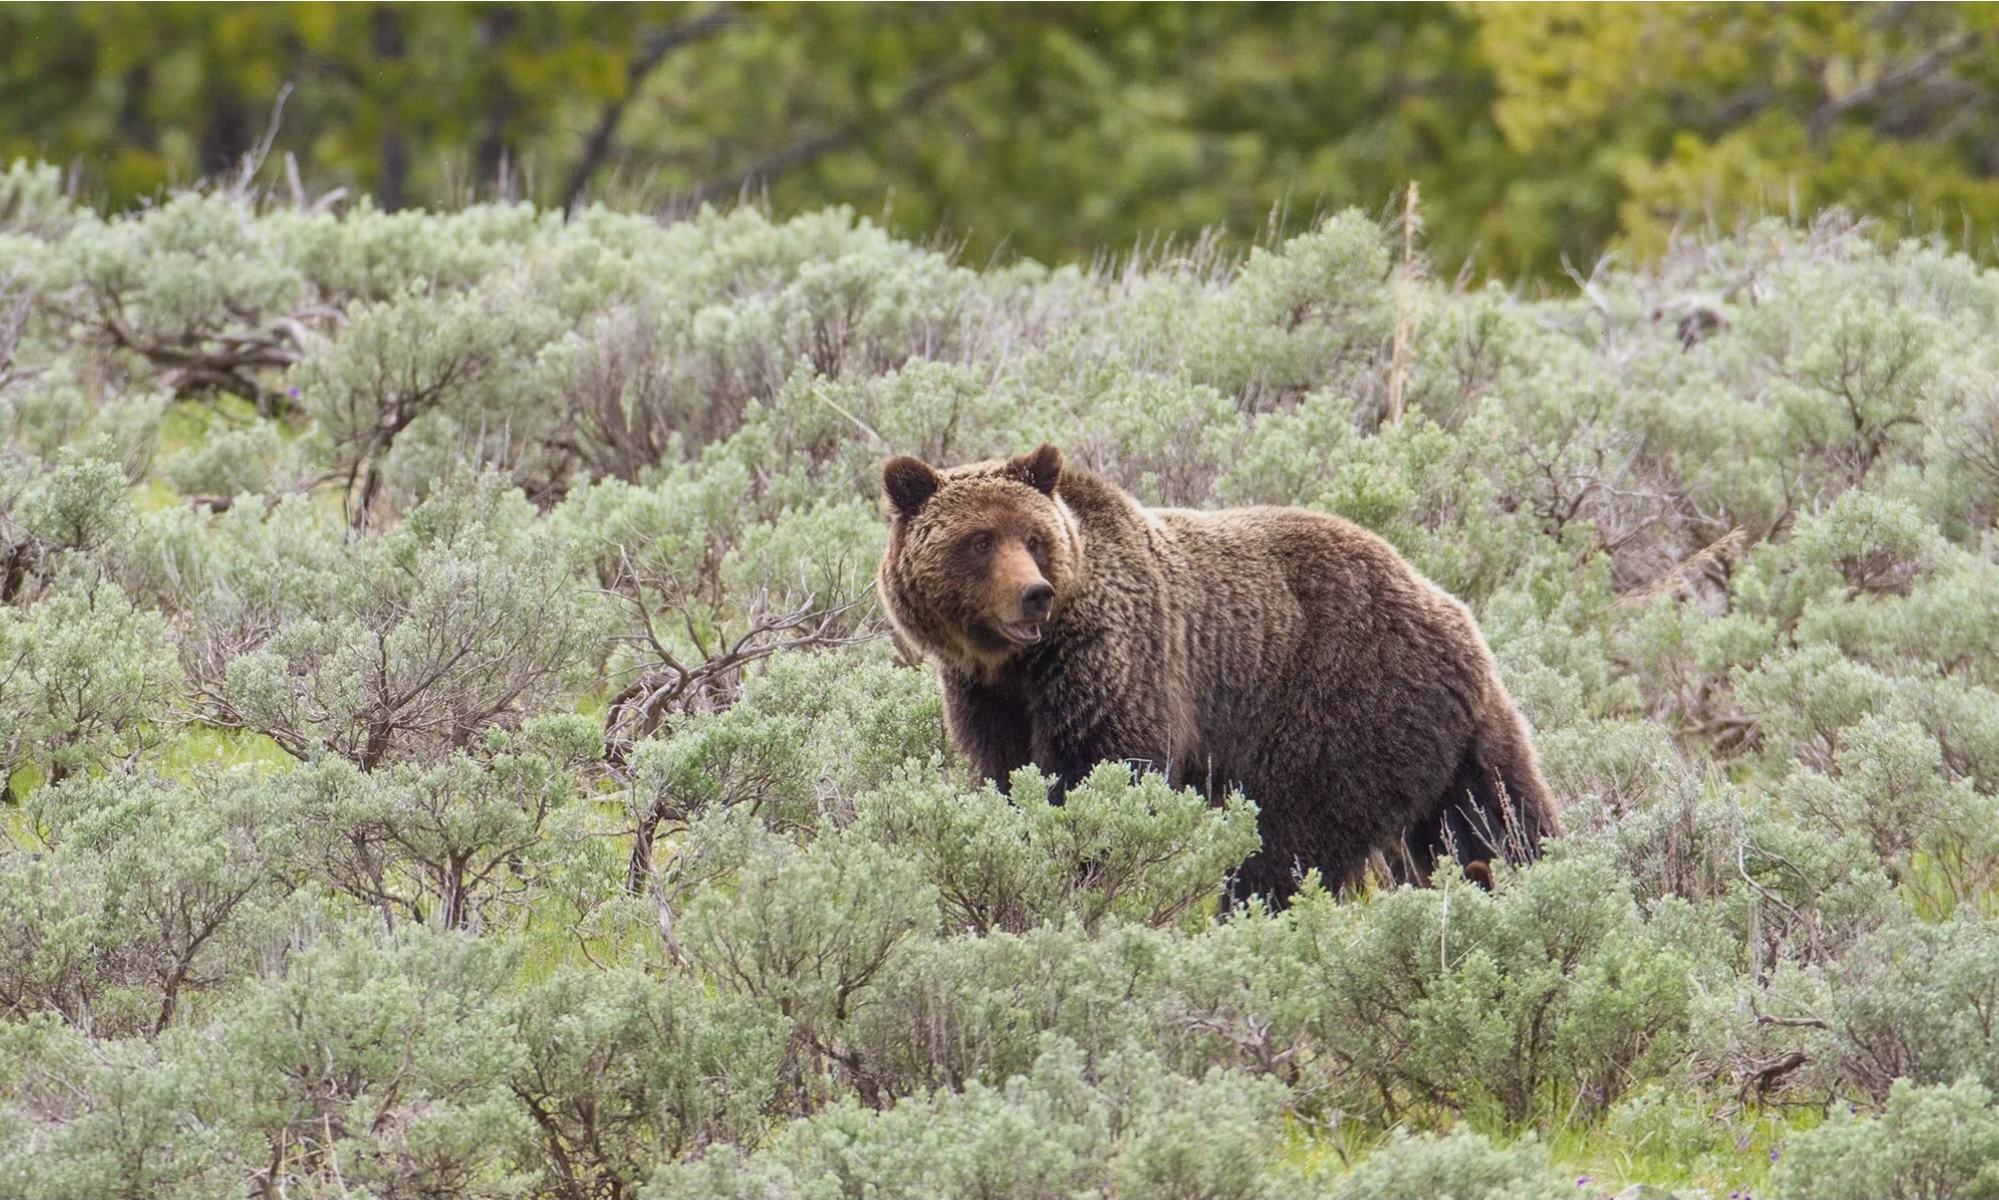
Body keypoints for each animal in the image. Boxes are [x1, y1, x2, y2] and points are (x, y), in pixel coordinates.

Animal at [875, 443, 1560, 906]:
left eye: (1035, 537)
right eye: (980, 540)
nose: (1033, 595)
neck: (1020, 664)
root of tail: (1455, 617)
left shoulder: (1116, 664)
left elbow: (1106, 773)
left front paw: (1092, 870)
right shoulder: (987, 698)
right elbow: (1008, 776)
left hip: (1340, 706)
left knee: (1289, 840)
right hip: (1454, 738)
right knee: (1496, 816)